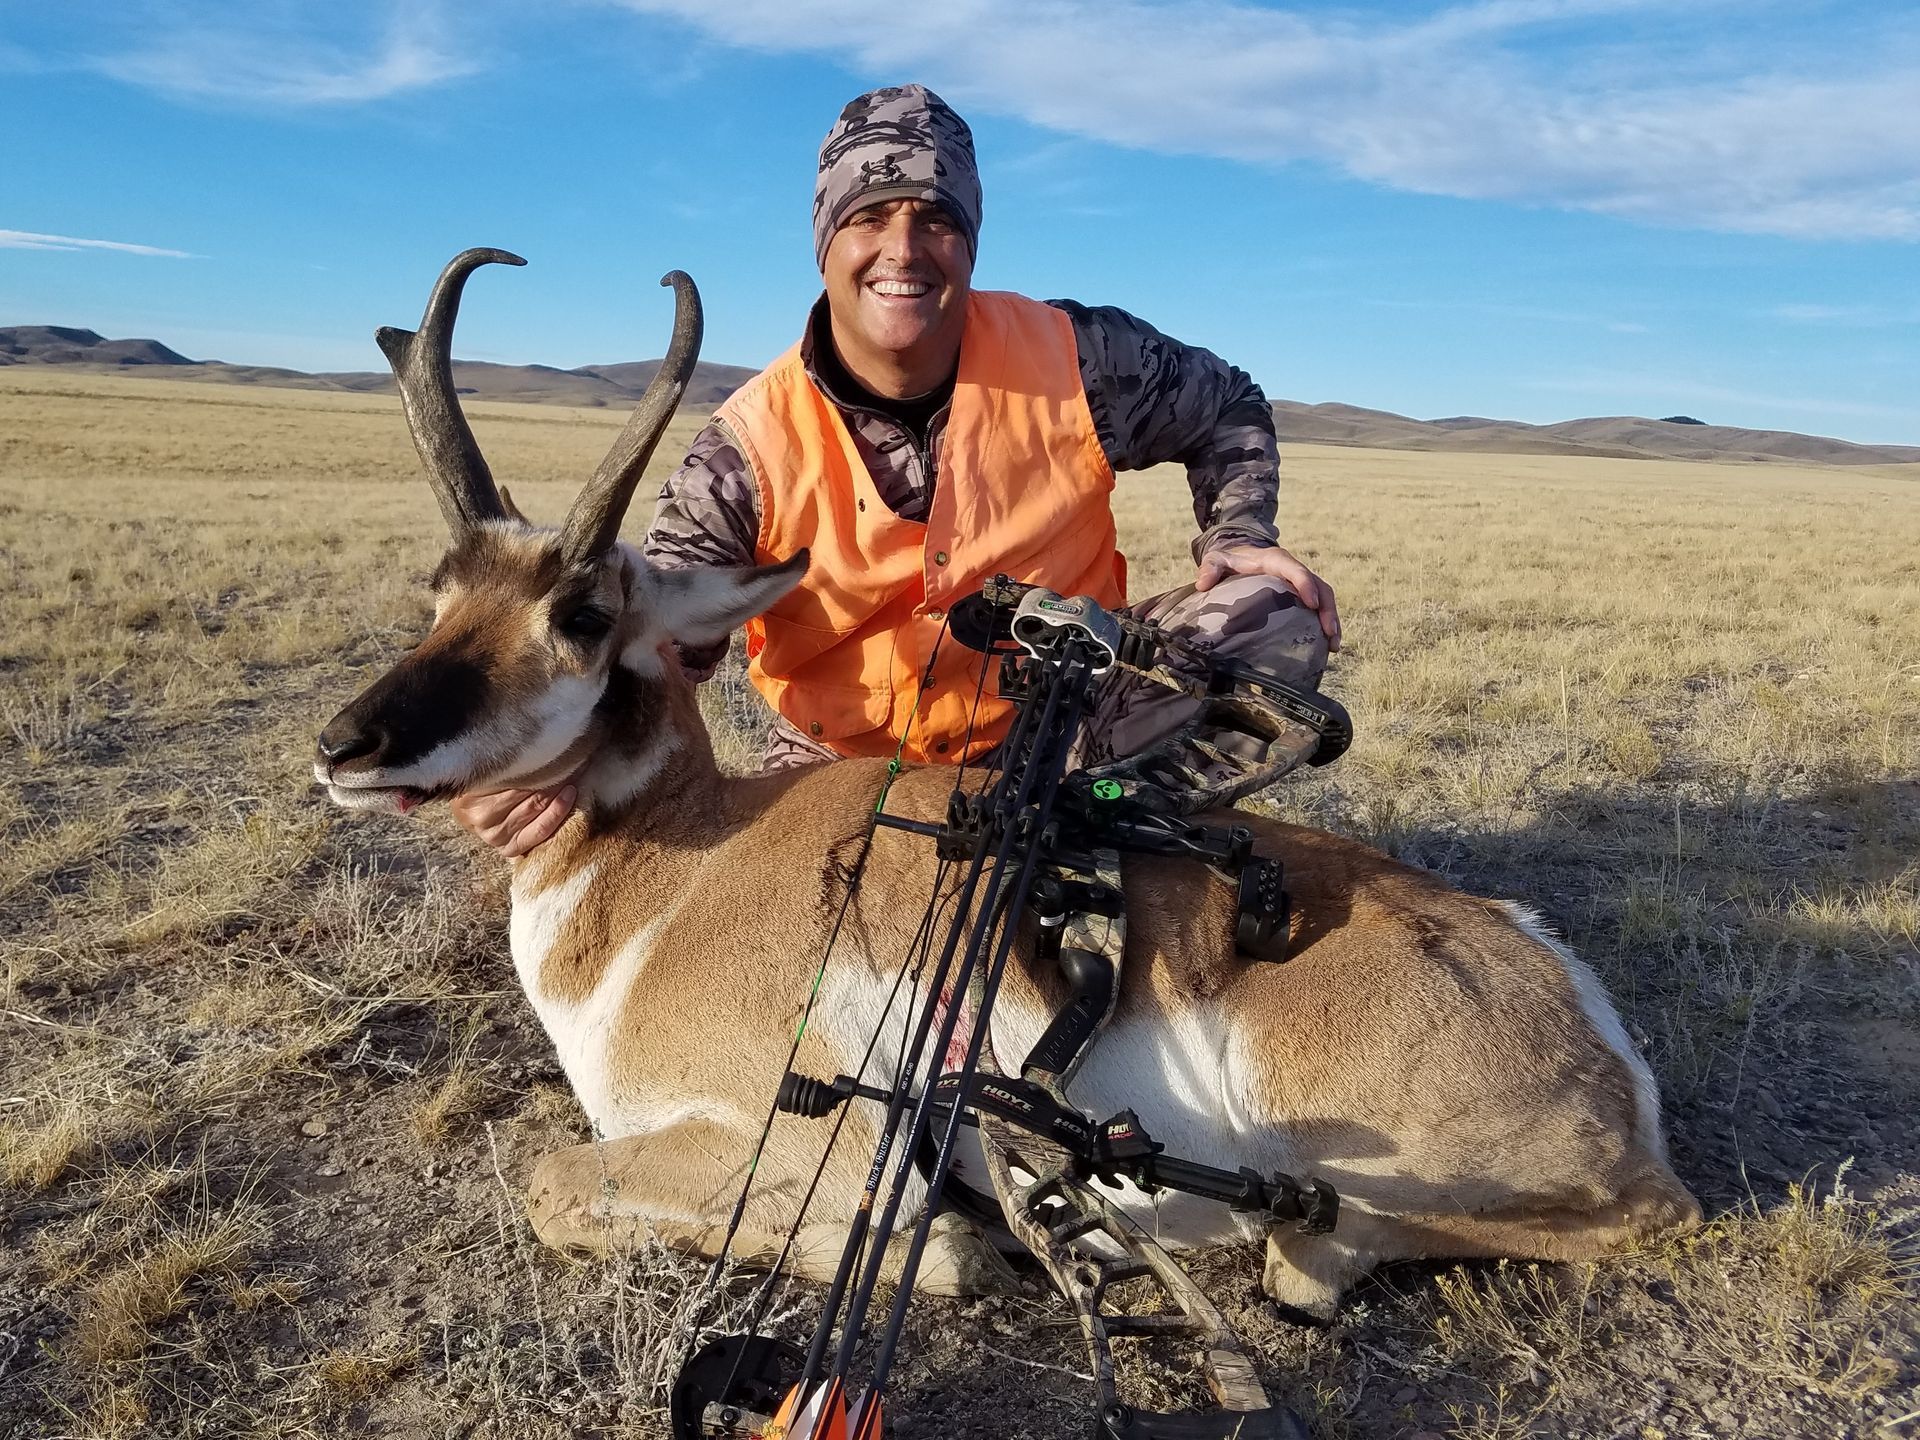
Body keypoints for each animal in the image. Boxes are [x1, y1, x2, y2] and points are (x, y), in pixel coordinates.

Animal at [315, 249, 1700, 1319]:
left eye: (585, 613)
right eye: (441, 594)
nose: (345, 749)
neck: (676, 873)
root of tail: (1569, 999)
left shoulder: (803, 1132)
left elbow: (557, 1181)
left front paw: (954, 1253)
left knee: (1598, 1219)